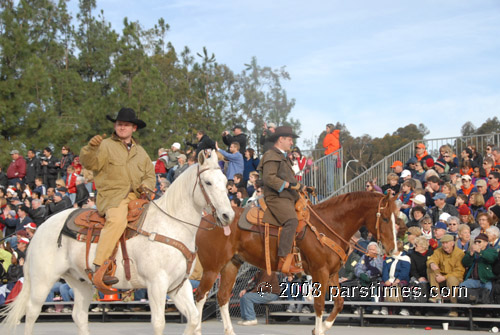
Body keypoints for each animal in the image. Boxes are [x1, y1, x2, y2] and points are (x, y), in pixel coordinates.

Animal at [0, 151, 234, 334]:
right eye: (208, 182)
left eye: (225, 182)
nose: (228, 215)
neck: (170, 225)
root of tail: (41, 227)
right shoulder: (157, 284)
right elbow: (159, 323)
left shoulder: (179, 285)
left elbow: (193, 319)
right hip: (42, 280)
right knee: (32, 313)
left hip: (81, 282)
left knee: (79, 316)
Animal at [193, 192, 396, 335]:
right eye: (385, 218)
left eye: (397, 218)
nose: (393, 248)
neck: (329, 225)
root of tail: (206, 219)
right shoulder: (320, 272)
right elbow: (319, 305)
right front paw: (318, 330)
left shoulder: (332, 273)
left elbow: (338, 302)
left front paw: (322, 327)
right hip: (212, 269)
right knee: (200, 297)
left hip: (230, 266)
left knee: (222, 297)